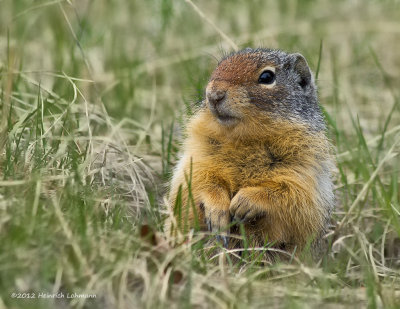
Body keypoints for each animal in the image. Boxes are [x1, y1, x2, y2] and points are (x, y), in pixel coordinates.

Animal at [167, 47, 336, 258]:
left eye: (267, 76)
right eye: (218, 66)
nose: (214, 94)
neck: (243, 139)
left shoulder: (304, 172)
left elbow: (292, 196)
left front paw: (244, 203)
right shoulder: (197, 159)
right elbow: (198, 182)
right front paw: (217, 212)